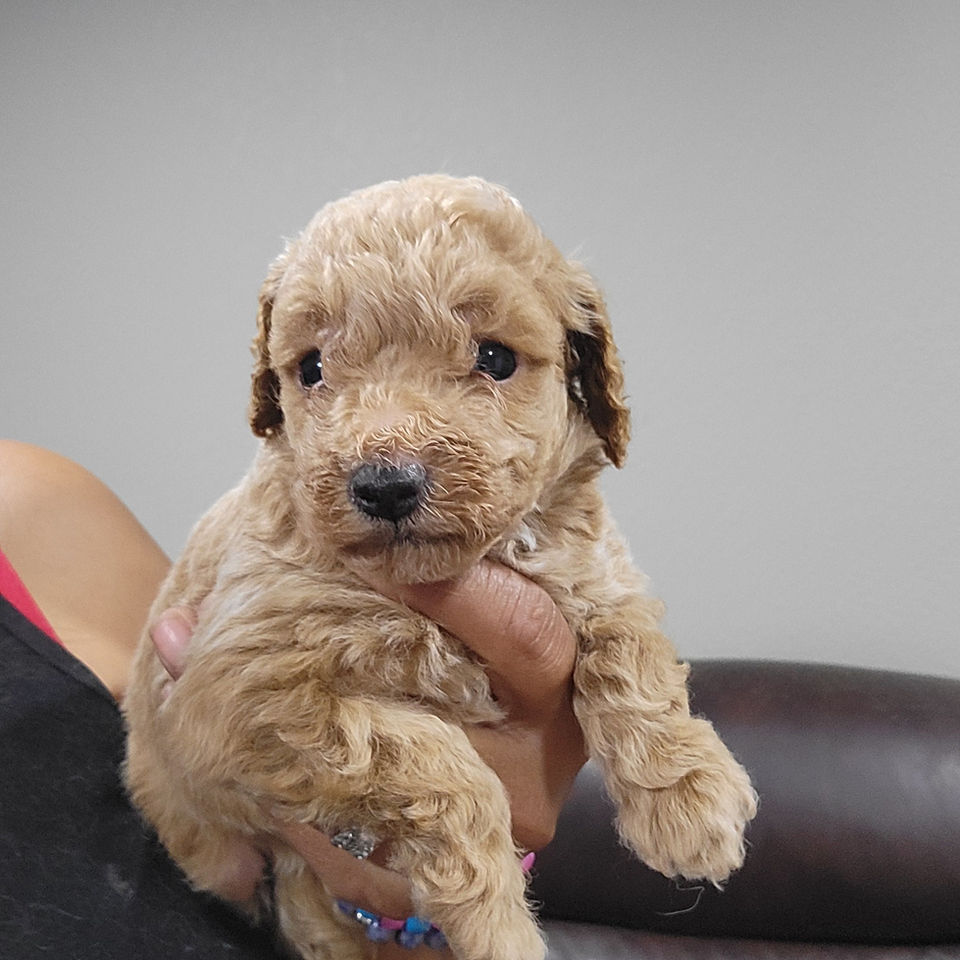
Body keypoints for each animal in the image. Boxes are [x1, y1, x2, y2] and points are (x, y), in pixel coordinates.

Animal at [123, 175, 757, 960]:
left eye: (496, 358)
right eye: (312, 368)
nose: (385, 484)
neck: (452, 569)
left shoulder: (596, 568)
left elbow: (630, 648)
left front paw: (691, 797)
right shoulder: (234, 693)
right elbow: (438, 764)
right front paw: (499, 926)